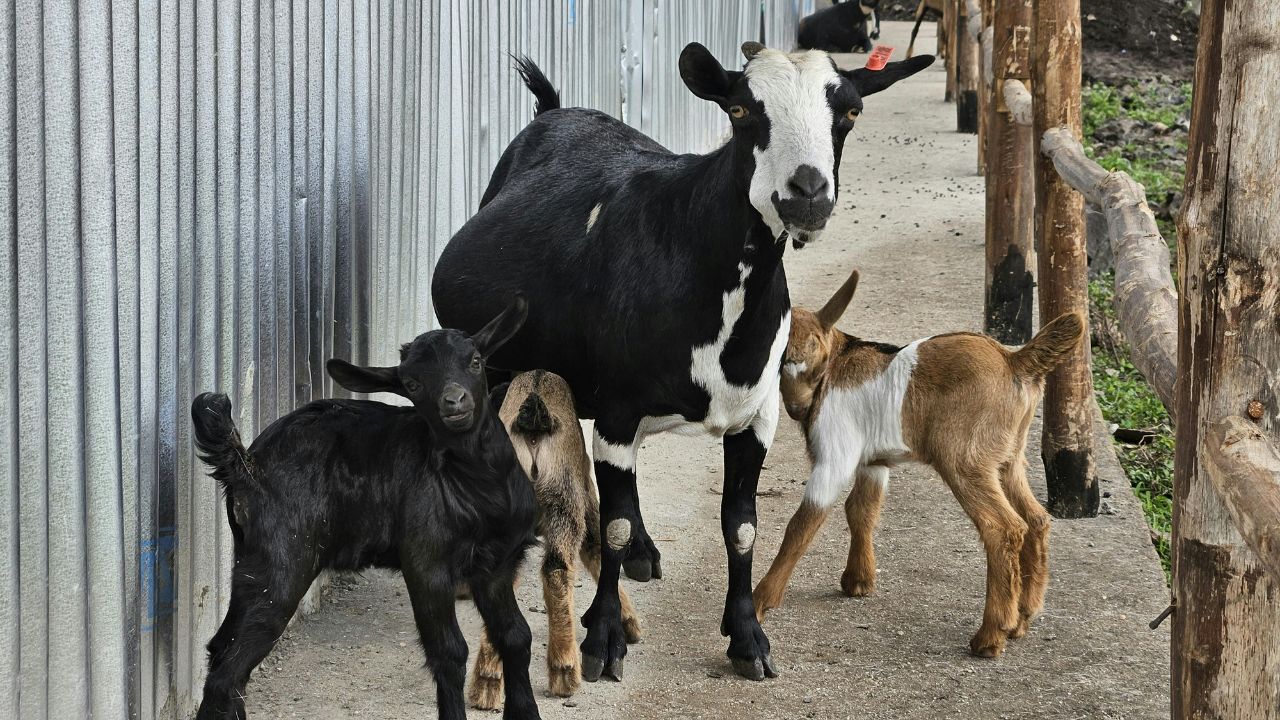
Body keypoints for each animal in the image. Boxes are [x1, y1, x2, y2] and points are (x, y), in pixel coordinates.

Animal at [191, 299, 542, 720]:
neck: (476, 485)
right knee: (229, 670)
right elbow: (449, 653)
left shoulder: (497, 566)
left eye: (475, 361)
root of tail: (246, 467)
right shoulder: (426, 563)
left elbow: (517, 636)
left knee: (222, 651)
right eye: (412, 384)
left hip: (251, 562)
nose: (454, 402)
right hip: (281, 562)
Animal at [468, 370, 643, 708]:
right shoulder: (585, 494)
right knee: (557, 570)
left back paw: (486, 681)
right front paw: (628, 622)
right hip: (564, 502)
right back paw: (565, 670)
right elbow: (597, 548)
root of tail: (534, 424)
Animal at [751, 270, 1084, 658]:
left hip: (965, 460)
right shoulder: (873, 463)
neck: (835, 365)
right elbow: (860, 510)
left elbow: (802, 524)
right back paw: (1023, 618)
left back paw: (990, 635)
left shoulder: (835, 457)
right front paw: (858, 581)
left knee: (1003, 527)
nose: (797, 406)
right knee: (1035, 519)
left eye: (811, 347)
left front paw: (759, 602)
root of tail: (1014, 361)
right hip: (1007, 459)